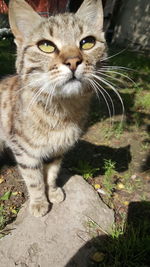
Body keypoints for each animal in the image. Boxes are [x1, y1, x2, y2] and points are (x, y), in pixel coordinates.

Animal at [0, 0, 105, 218]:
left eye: (88, 42)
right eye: (46, 46)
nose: (73, 61)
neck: (61, 111)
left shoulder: (58, 150)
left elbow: (52, 173)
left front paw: (54, 192)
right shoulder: (25, 152)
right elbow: (34, 180)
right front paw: (39, 202)